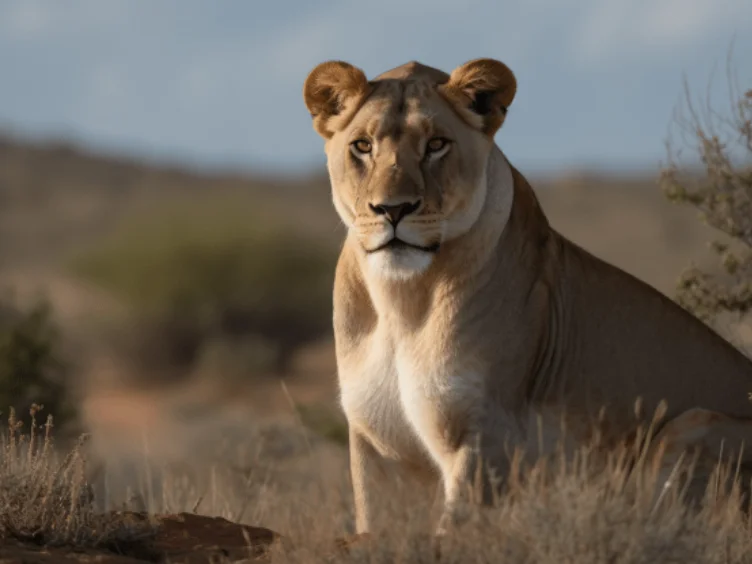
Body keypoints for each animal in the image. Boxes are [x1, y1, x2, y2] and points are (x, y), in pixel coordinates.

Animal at [302, 58, 752, 536]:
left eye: (437, 145)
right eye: (362, 146)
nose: (392, 209)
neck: (401, 300)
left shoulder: (487, 433)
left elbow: (451, 535)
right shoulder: (376, 444)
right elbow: (376, 526)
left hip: (692, 427)